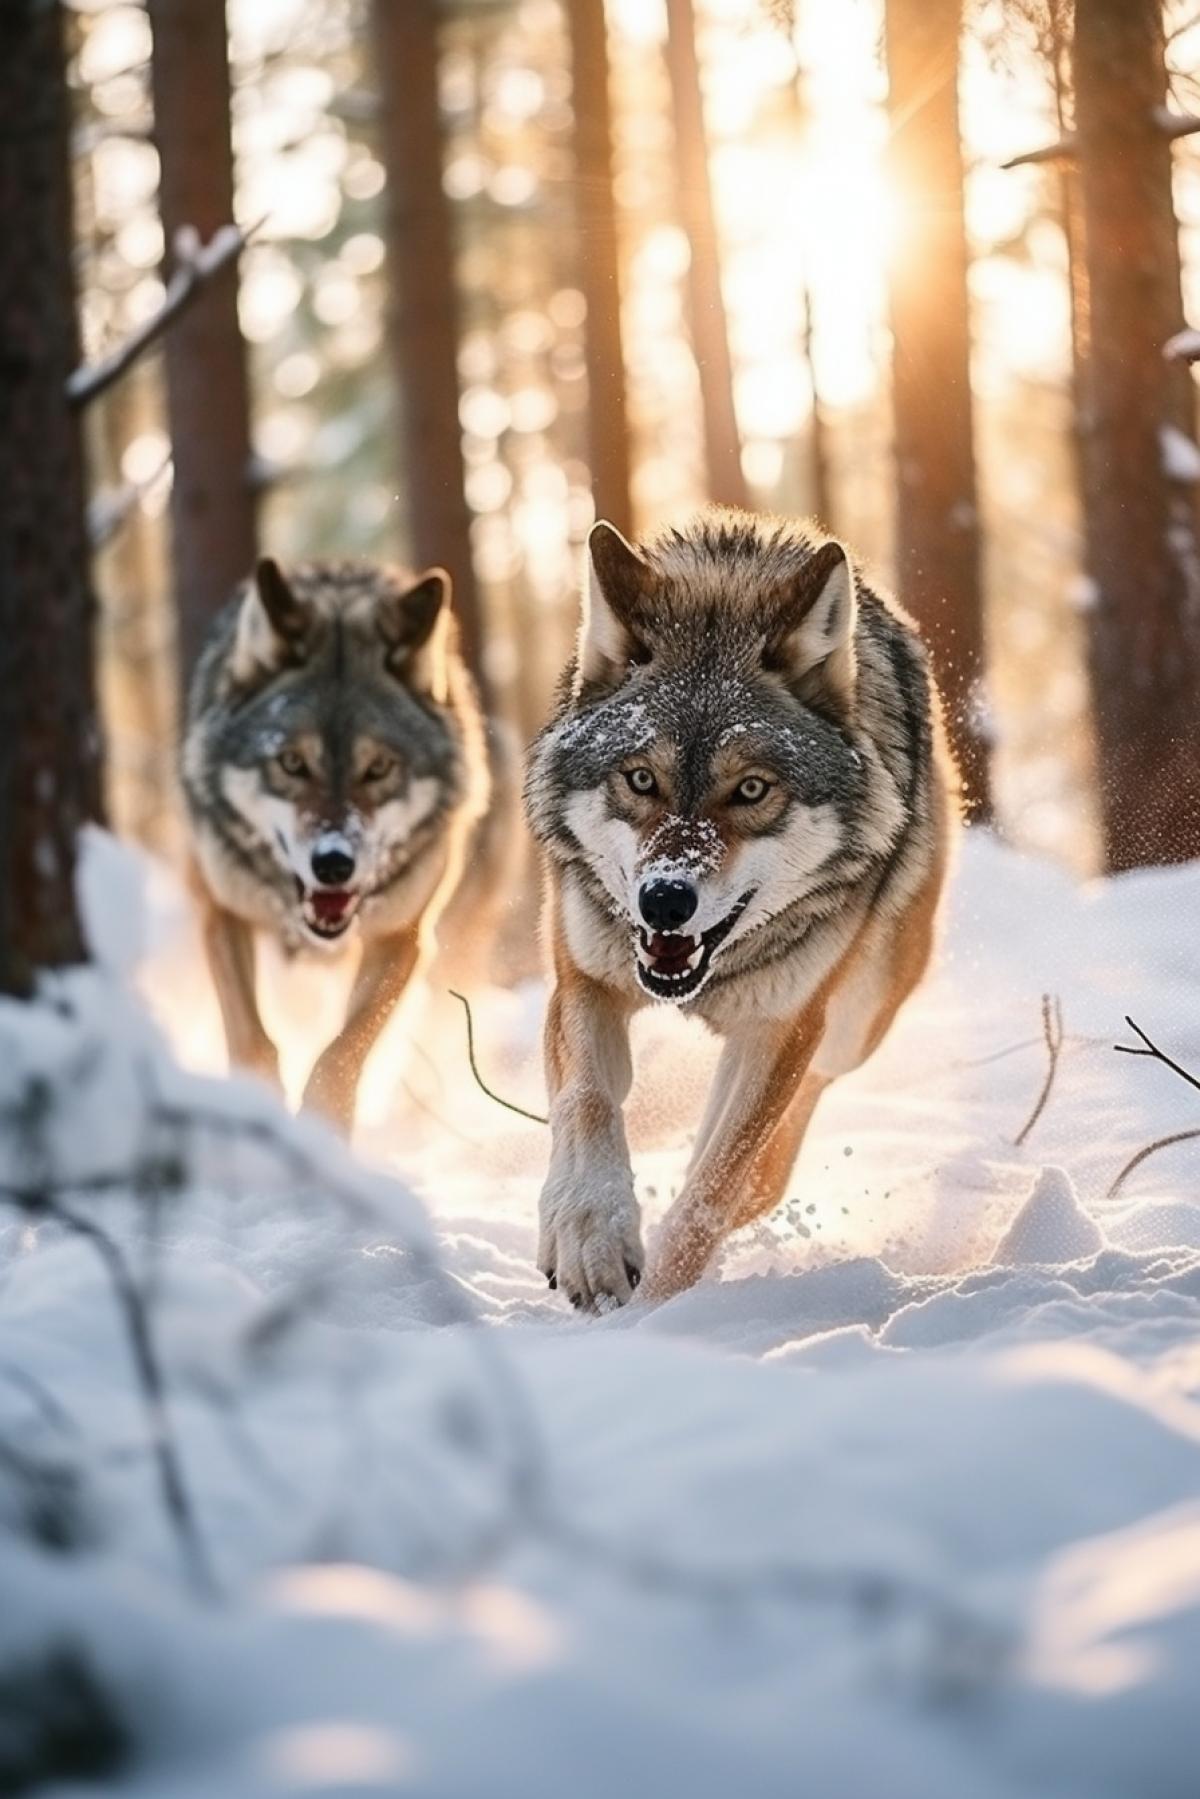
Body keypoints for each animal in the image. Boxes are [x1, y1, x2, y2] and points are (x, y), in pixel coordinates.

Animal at [182, 556, 487, 1131]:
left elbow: (343, 1050)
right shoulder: (219, 912)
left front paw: (322, 1126)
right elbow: (253, 1042)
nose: (333, 865)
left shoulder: (403, 935)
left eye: (379, 768)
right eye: (292, 763)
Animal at [525, 508, 953, 1310]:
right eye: (641, 779)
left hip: (849, 1026)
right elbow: (588, 1103)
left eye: (750, 789)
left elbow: (713, 1190)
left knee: (764, 1164)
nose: (665, 898)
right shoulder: (582, 982)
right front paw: (589, 1241)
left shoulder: (784, 1025)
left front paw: (658, 1306)